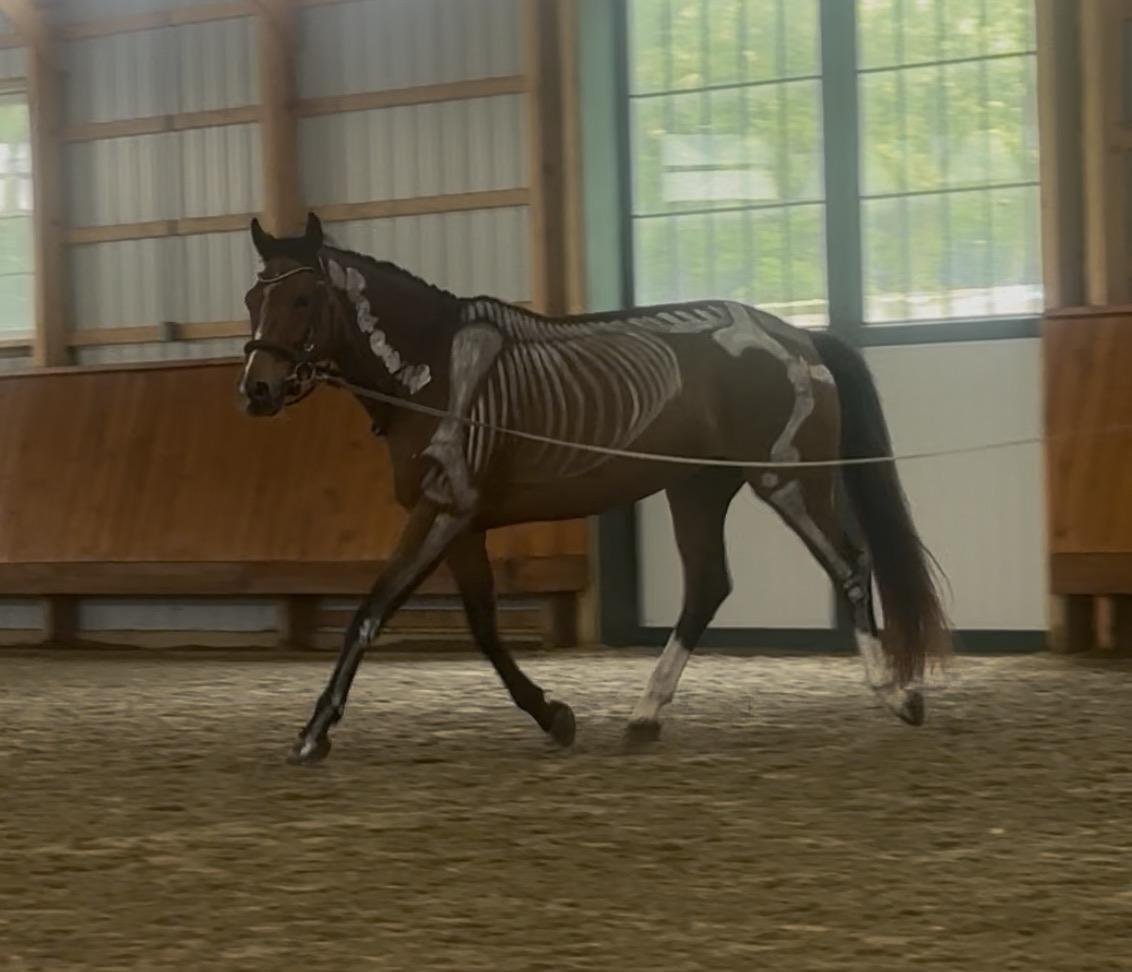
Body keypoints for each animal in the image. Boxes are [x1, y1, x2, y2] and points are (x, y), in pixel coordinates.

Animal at [239, 213, 950, 764]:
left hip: (788, 481)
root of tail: (802, 337)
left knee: (849, 567)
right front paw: (553, 715)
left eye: (302, 300)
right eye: (253, 300)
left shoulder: (442, 511)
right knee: (707, 585)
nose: (256, 390)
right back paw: (644, 716)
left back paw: (897, 696)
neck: (433, 369)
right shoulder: (464, 522)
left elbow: (372, 611)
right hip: (696, 489)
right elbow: (483, 627)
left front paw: (313, 733)